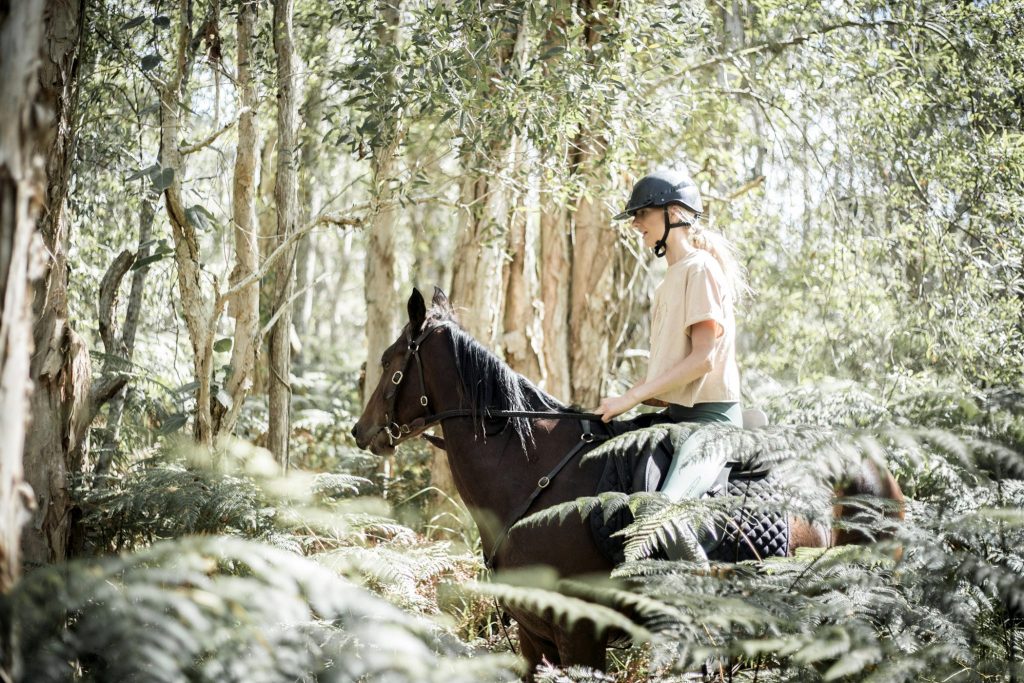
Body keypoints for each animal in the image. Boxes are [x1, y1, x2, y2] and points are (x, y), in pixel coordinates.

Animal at [354, 288, 905, 679]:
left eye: (389, 360)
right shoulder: (535, 640)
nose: (362, 432)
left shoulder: (581, 635)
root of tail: (877, 469)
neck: (533, 478)